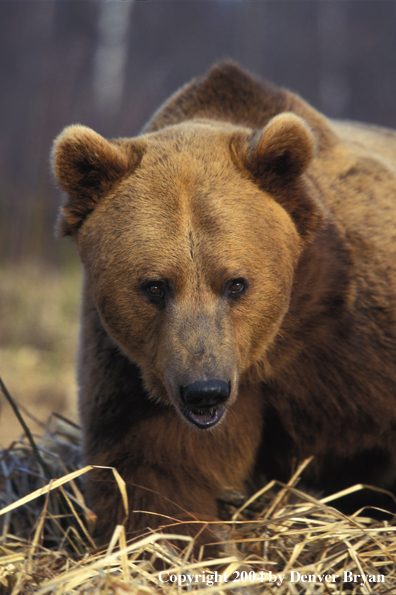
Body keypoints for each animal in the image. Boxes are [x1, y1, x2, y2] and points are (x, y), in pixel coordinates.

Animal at [51, 62, 396, 552]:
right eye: (154, 286)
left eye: (236, 283)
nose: (205, 390)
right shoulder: (137, 372)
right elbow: (156, 478)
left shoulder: (355, 337)